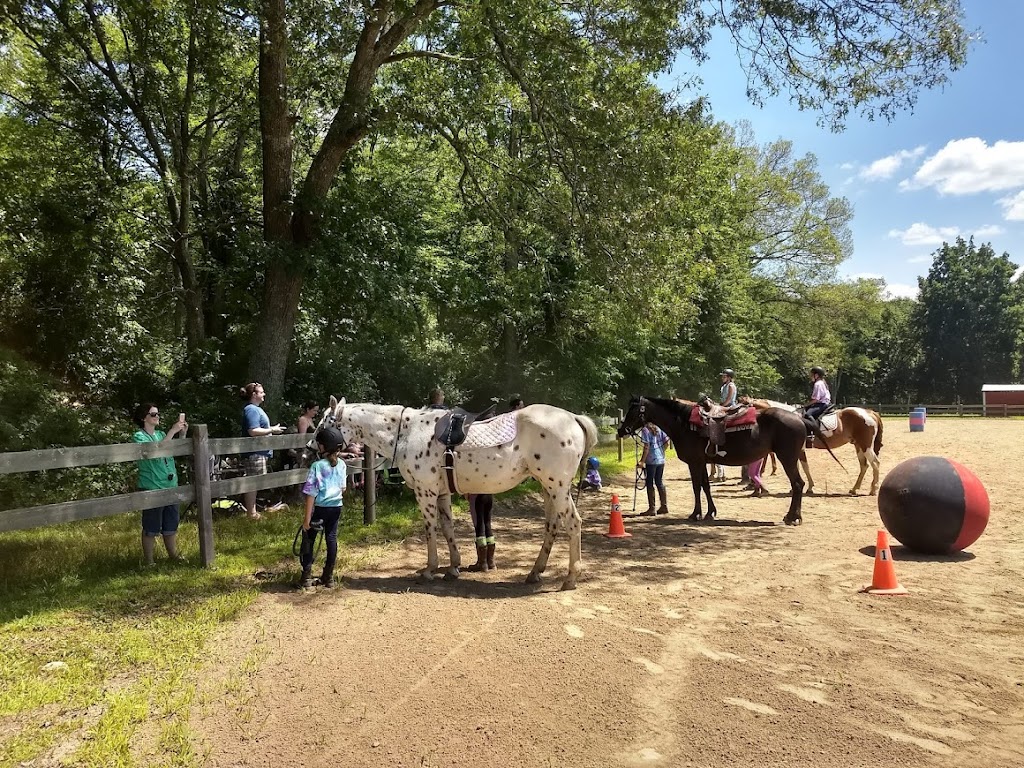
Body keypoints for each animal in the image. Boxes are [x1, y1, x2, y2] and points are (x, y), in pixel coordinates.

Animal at [315, 399, 598, 593]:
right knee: (552, 525)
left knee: (573, 523)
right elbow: (447, 527)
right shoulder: (441, 494)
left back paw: (570, 578)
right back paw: (535, 572)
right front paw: (453, 567)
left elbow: (431, 529)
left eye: (323, 425)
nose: (310, 448)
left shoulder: (425, 492)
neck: (406, 432)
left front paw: (430, 569)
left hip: (557, 487)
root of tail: (573, 418)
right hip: (549, 489)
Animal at [618, 397, 827, 528]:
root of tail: (799, 418)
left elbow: (696, 486)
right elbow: (705, 486)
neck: (684, 424)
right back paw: (792, 516)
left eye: (633, 410)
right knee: (798, 484)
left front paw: (696, 514)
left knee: (798, 484)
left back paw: (793, 517)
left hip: (788, 458)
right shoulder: (702, 462)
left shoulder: (694, 462)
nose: (621, 430)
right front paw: (710, 513)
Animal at [741, 399, 884, 495]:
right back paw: (854, 489)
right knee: (864, 466)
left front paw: (808, 487)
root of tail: (869, 412)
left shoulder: (799, 450)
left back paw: (873, 489)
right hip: (858, 446)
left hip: (866, 446)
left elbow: (804, 467)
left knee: (875, 463)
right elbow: (801, 467)